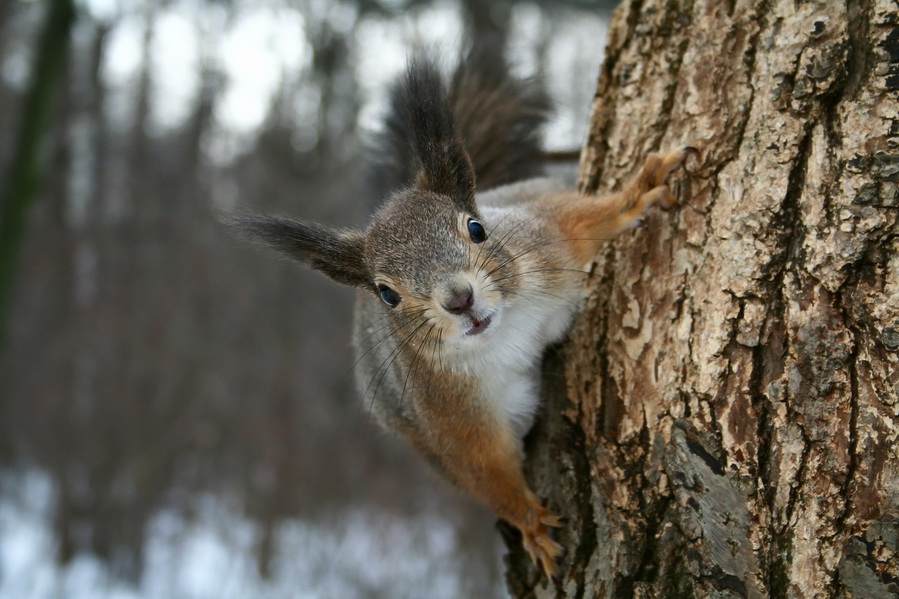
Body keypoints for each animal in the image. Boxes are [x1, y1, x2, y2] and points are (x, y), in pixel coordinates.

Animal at [232, 45, 696, 576]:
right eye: (386, 294)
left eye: (476, 229)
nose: (460, 299)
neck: (503, 333)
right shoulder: (449, 414)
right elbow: (487, 472)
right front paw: (530, 524)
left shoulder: (547, 240)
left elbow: (588, 220)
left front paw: (641, 190)